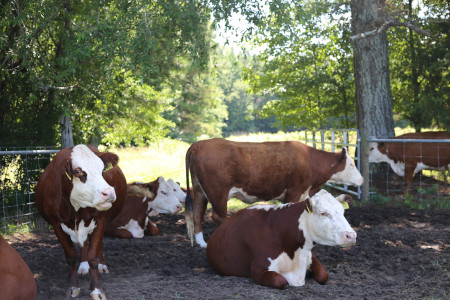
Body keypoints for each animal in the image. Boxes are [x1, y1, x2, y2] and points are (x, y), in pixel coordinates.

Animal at [34, 144, 126, 298]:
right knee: (83, 245)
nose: (109, 193)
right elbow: (71, 256)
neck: (76, 208)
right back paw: (83, 266)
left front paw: (97, 290)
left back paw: (102, 266)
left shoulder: (100, 219)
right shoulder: (56, 224)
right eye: (77, 171)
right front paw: (72, 286)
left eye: (102, 169)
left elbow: (93, 255)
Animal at [185, 137, 364, 247]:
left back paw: (202, 243)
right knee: (218, 217)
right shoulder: (294, 191)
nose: (362, 180)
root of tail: (199, 144)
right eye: (351, 164)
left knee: (198, 214)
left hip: (200, 191)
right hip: (218, 194)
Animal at [206, 189, 356, 290]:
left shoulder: (310, 255)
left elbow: (324, 276)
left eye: (343, 212)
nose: (351, 235)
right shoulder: (259, 270)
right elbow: (283, 282)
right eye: (323, 213)